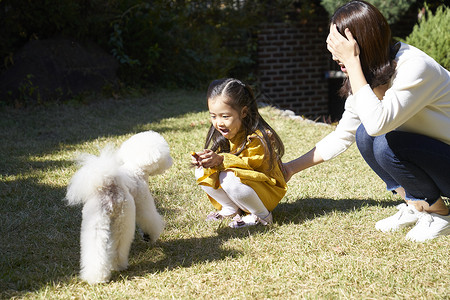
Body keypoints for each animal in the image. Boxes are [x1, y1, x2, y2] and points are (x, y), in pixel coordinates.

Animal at [65, 131, 172, 284]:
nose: (170, 161)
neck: (136, 168)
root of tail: (109, 185)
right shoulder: (143, 201)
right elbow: (150, 219)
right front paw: (150, 236)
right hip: (123, 219)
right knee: (119, 244)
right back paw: (118, 266)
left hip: (94, 221)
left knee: (95, 249)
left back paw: (96, 277)